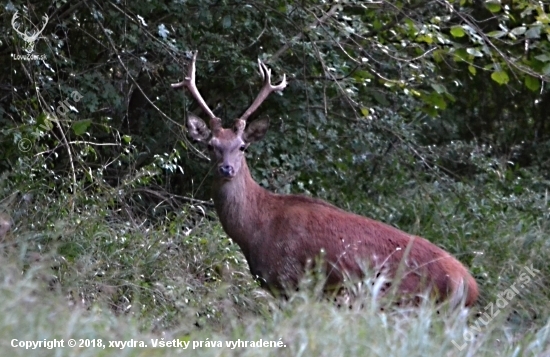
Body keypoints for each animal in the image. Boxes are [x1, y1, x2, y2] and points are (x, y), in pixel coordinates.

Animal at [172, 51, 478, 308]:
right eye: (211, 145)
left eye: (242, 146)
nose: (226, 169)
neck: (255, 230)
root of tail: (469, 285)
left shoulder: (290, 279)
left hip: (408, 302)